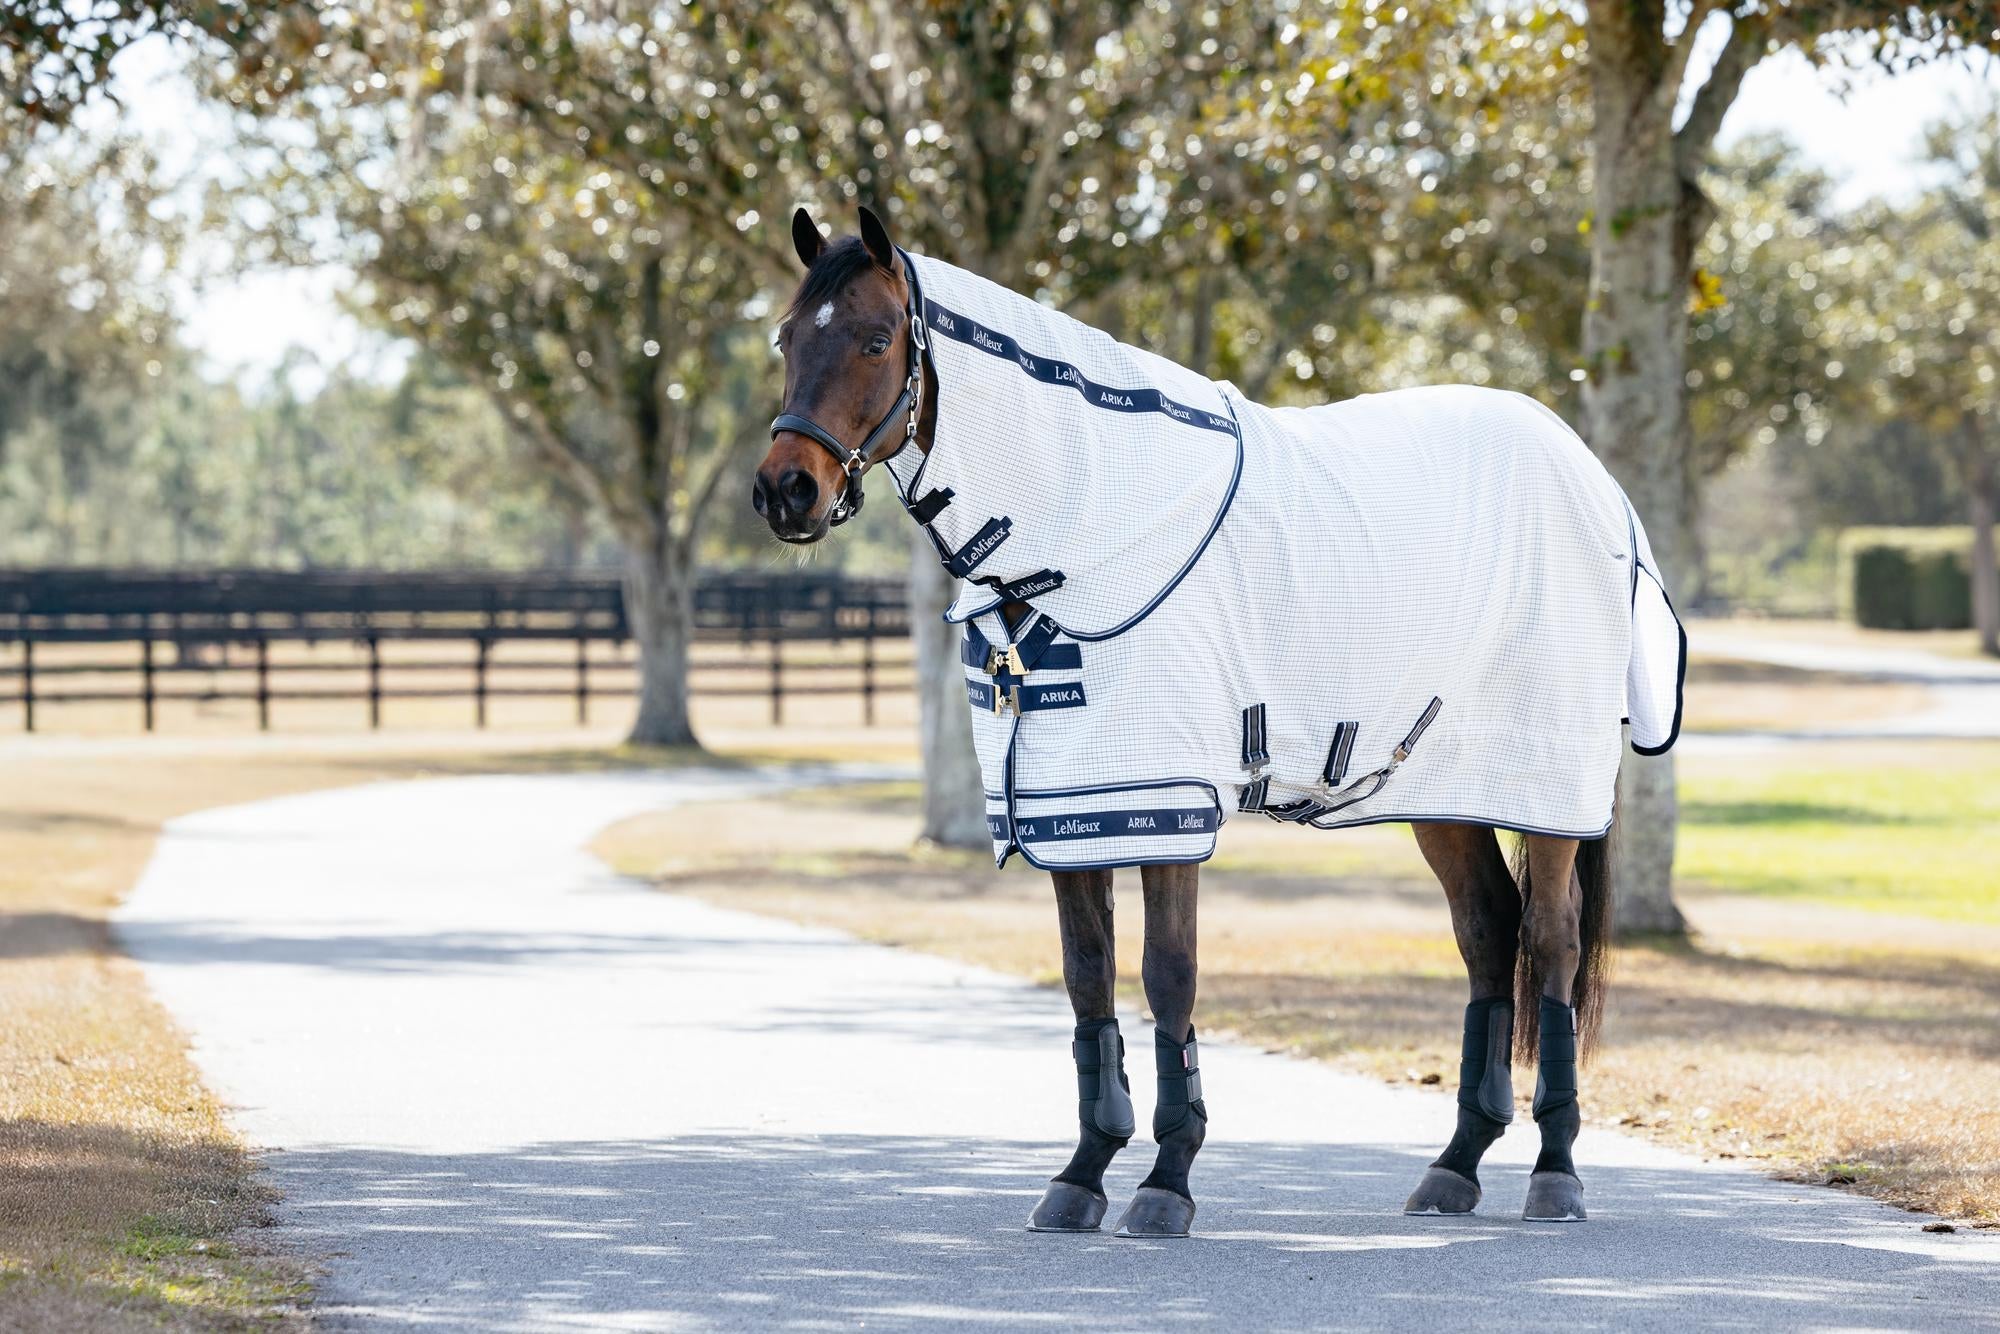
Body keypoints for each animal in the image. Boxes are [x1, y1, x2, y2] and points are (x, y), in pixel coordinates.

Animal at [754, 204, 1685, 1238]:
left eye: (877, 340)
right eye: (788, 337)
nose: (786, 491)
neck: (1090, 528)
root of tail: (1594, 481)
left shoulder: (1165, 801)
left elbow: (1168, 974)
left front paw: (1166, 1181)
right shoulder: (1070, 805)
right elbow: (1088, 977)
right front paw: (1081, 1176)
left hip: (1547, 789)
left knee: (1551, 945)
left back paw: (1555, 1174)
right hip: (1445, 791)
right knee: (1488, 932)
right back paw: (1454, 1167)